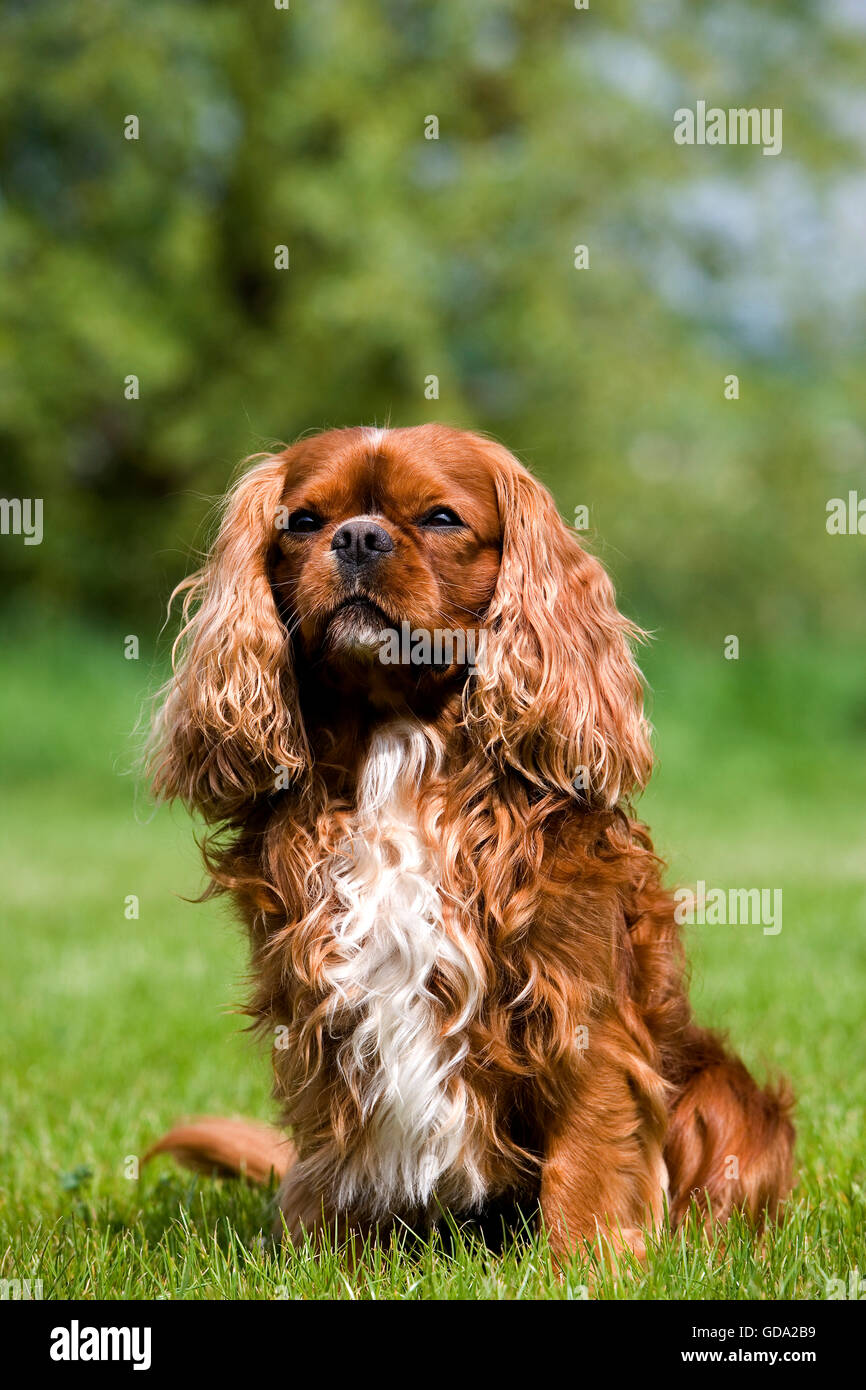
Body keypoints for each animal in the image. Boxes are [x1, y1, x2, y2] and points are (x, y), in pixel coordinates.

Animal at [145, 417, 795, 1256]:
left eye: (441, 519)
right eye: (304, 522)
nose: (357, 536)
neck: (395, 737)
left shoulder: (579, 1010)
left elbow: (589, 1154)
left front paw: (587, 1264)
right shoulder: (321, 1004)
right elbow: (334, 1158)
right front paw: (328, 1261)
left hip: (734, 1104)